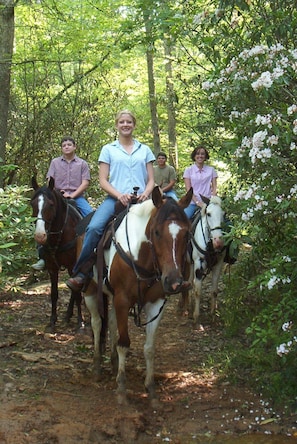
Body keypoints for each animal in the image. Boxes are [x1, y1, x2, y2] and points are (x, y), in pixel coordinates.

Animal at [30, 177, 84, 332]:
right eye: (32, 204)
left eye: (51, 204)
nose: (40, 235)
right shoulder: (52, 267)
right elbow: (54, 294)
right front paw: (52, 321)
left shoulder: (73, 266)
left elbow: (77, 293)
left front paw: (80, 323)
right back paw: (68, 315)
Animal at [82, 186, 192, 406]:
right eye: (156, 232)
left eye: (187, 233)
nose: (174, 281)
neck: (141, 256)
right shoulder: (123, 299)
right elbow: (124, 343)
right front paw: (122, 390)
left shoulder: (156, 303)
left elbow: (149, 347)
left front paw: (151, 390)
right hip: (91, 290)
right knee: (97, 323)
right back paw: (97, 366)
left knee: (111, 322)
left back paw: (113, 363)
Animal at [179, 196, 225, 328]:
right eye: (208, 214)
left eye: (223, 214)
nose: (218, 242)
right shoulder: (198, 264)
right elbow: (198, 290)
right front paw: (196, 318)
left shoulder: (218, 264)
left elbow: (214, 291)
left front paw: (213, 316)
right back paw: (184, 307)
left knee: (190, 281)